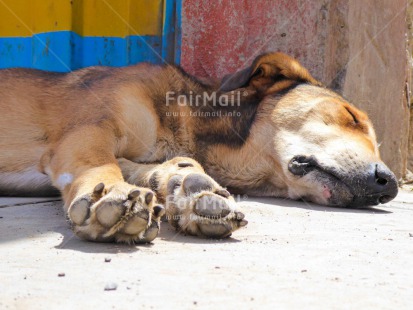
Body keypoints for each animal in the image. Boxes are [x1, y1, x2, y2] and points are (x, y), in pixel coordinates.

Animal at [0, 52, 400, 242]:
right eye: (351, 116)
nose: (390, 185)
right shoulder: (87, 132)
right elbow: (99, 164)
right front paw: (113, 193)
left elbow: (164, 166)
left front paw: (188, 187)